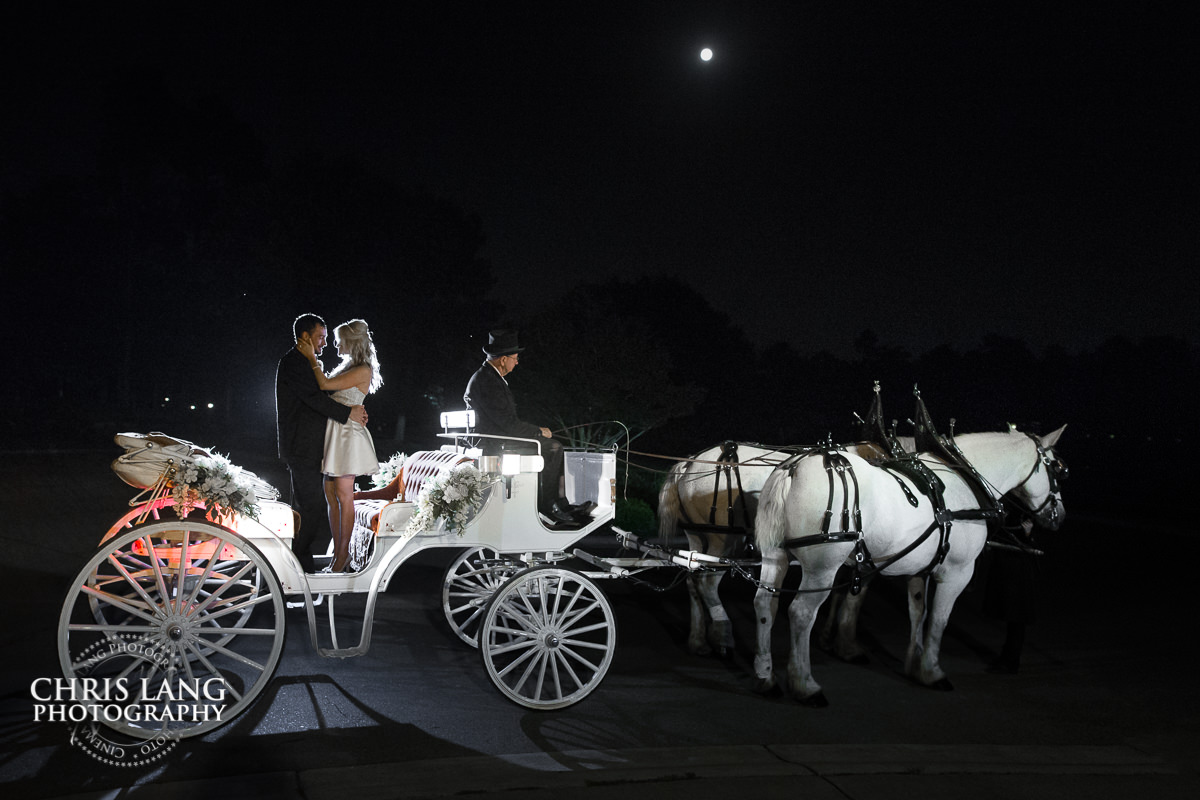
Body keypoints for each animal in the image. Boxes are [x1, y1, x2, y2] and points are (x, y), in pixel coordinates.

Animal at [753, 429, 1065, 705]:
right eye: (1058, 469)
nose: (1059, 515)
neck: (963, 482)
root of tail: (793, 467)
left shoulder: (919, 568)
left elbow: (918, 612)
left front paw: (913, 662)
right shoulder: (958, 573)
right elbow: (939, 620)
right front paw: (932, 671)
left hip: (775, 556)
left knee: (765, 605)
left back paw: (766, 677)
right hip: (822, 568)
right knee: (801, 614)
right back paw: (805, 685)